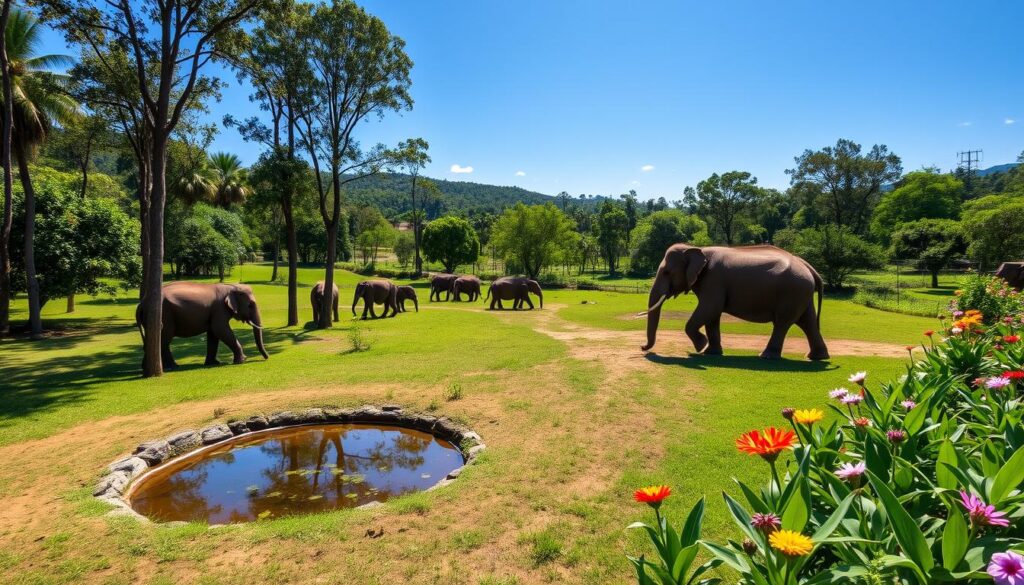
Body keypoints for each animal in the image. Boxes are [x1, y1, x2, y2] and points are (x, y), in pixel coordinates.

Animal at [134, 282, 270, 370]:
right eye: (250, 305)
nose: (266, 358)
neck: (230, 286)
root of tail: (142, 303)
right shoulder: (219, 309)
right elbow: (220, 330)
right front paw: (241, 361)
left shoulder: (214, 311)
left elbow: (213, 334)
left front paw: (213, 363)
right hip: (164, 315)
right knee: (164, 339)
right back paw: (168, 368)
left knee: (158, 340)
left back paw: (150, 368)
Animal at [638, 243, 831, 362]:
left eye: (666, 272)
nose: (642, 347)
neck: (696, 248)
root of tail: (810, 268)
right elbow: (712, 316)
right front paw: (711, 352)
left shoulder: (713, 280)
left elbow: (710, 308)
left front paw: (700, 347)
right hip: (802, 293)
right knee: (807, 322)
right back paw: (817, 357)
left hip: (792, 292)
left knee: (783, 323)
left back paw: (766, 356)